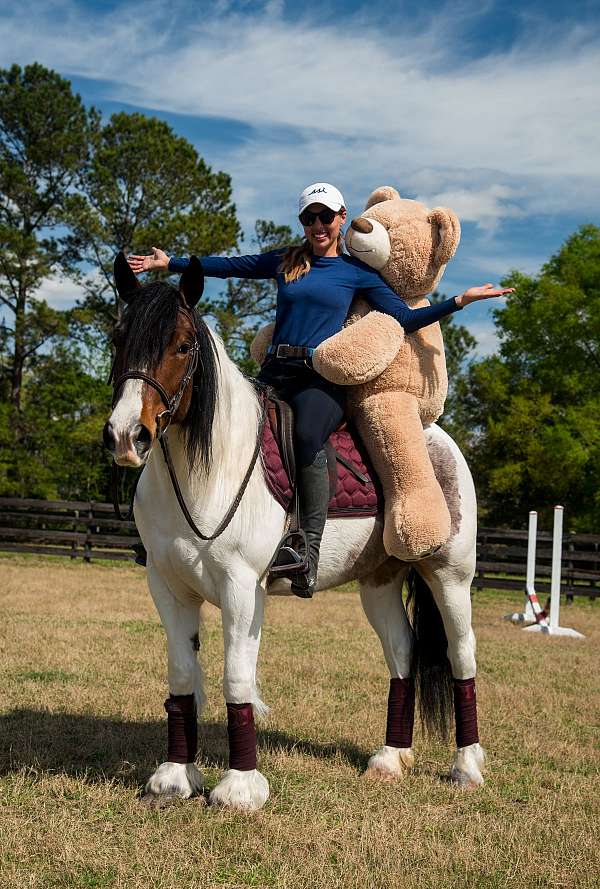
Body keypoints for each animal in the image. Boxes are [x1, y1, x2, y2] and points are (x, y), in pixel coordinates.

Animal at [103, 253, 486, 808]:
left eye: (182, 345)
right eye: (118, 337)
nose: (127, 436)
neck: (210, 470)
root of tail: (436, 438)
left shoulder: (242, 589)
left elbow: (236, 679)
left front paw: (240, 789)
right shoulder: (168, 587)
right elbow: (181, 678)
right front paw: (174, 777)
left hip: (450, 576)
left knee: (462, 655)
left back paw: (467, 767)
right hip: (379, 582)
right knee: (401, 653)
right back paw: (390, 760)